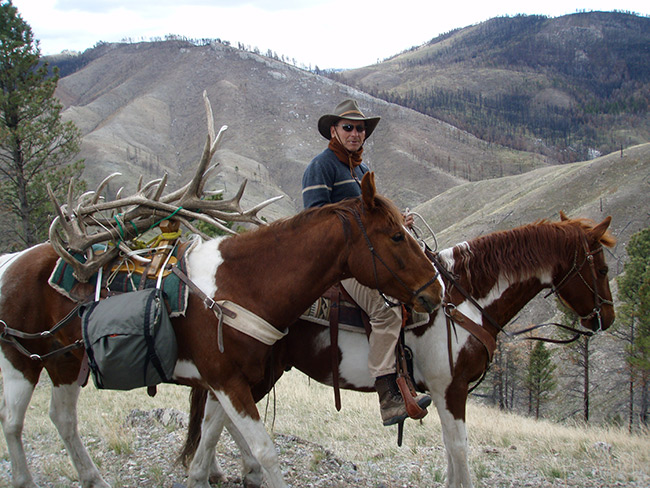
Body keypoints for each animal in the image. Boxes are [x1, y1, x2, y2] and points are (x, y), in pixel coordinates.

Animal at [0, 94, 440, 484]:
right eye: (396, 236)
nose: (434, 293)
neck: (247, 287)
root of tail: (12, 260)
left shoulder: (226, 380)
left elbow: (210, 435)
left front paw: (203, 475)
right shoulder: (227, 381)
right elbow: (265, 449)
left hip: (65, 361)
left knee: (61, 417)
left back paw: (93, 478)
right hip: (23, 359)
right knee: (14, 421)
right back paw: (24, 478)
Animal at [181, 213, 612, 488]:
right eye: (604, 269)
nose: (605, 318)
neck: (463, 301)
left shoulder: (444, 393)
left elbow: (451, 453)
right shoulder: (450, 389)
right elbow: (460, 450)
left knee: (219, 417)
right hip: (253, 375)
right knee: (222, 418)